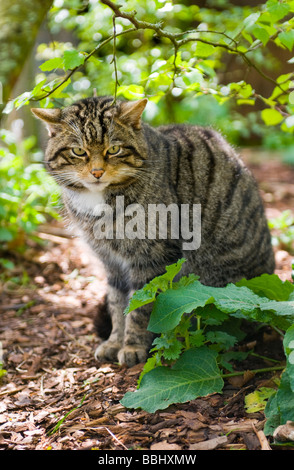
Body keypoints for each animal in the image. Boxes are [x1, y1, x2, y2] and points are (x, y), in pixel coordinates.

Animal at [31, 96, 274, 368]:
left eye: (113, 150)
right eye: (79, 151)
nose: (97, 172)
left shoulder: (153, 258)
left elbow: (141, 307)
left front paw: (132, 346)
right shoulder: (111, 262)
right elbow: (118, 305)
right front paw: (115, 341)